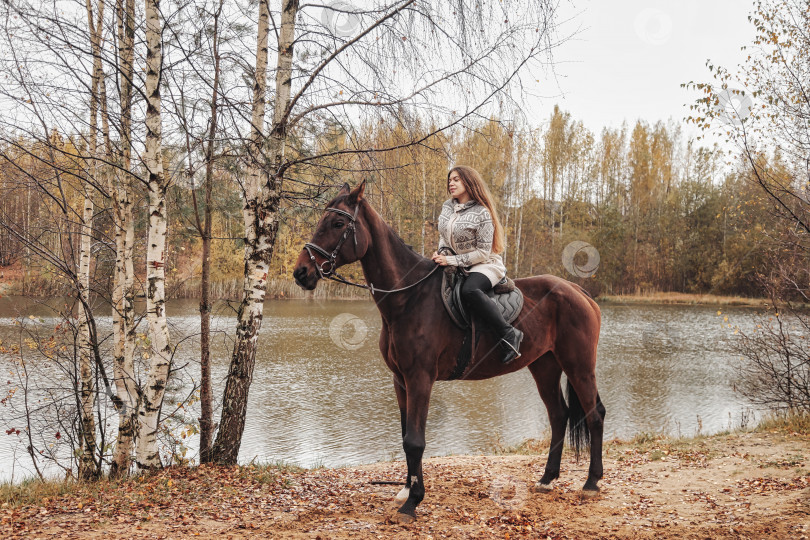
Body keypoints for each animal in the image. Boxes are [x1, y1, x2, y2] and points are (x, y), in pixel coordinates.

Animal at [290, 181, 600, 524]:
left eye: (337, 223)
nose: (301, 272)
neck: (409, 297)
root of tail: (578, 291)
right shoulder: (400, 380)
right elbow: (406, 435)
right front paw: (406, 490)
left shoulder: (420, 378)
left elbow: (415, 441)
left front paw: (413, 502)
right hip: (544, 366)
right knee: (559, 415)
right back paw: (546, 479)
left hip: (579, 366)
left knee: (594, 415)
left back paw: (591, 482)